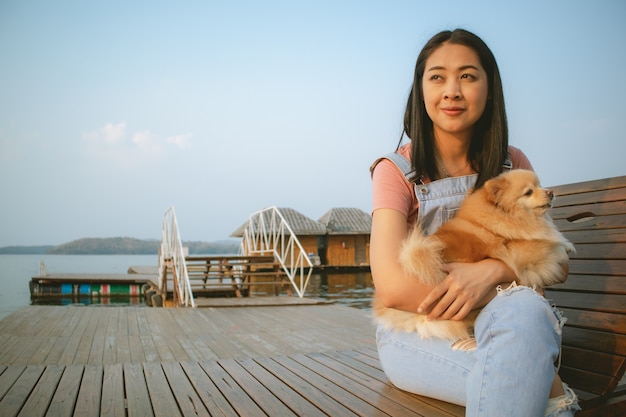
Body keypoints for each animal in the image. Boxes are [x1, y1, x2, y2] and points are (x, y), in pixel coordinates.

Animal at [372, 169, 572, 344]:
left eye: (540, 185)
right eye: (528, 192)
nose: (550, 192)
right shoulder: (525, 254)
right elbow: (549, 247)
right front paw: (563, 246)